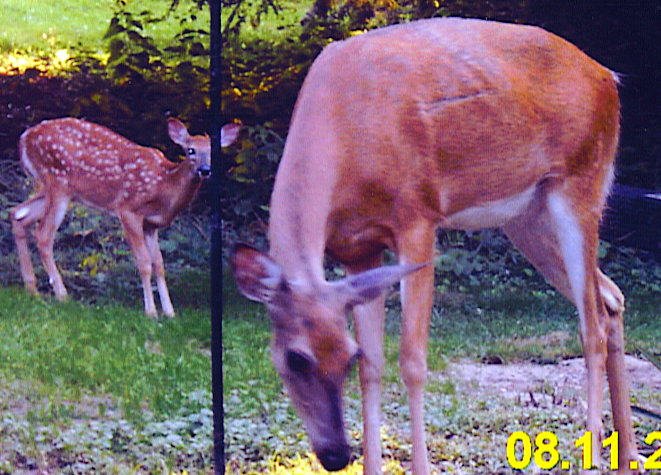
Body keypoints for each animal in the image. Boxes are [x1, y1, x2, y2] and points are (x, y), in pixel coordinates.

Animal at [10, 117, 240, 318]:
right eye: (190, 150)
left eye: (214, 152)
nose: (205, 170)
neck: (163, 186)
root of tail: (24, 137)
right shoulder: (128, 211)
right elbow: (144, 262)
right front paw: (151, 313)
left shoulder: (151, 225)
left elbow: (159, 264)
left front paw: (170, 312)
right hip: (58, 182)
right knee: (43, 235)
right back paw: (62, 296)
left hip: (53, 189)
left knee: (17, 215)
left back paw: (32, 290)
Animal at [230, 17, 642, 474]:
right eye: (295, 358)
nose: (336, 454)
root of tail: (608, 77)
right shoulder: (358, 252)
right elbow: (374, 367)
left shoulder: (417, 217)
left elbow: (412, 361)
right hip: (526, 217)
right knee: (611, 297)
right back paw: (628, 455)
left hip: (580, 184)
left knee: (592, 324)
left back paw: (596, 457)